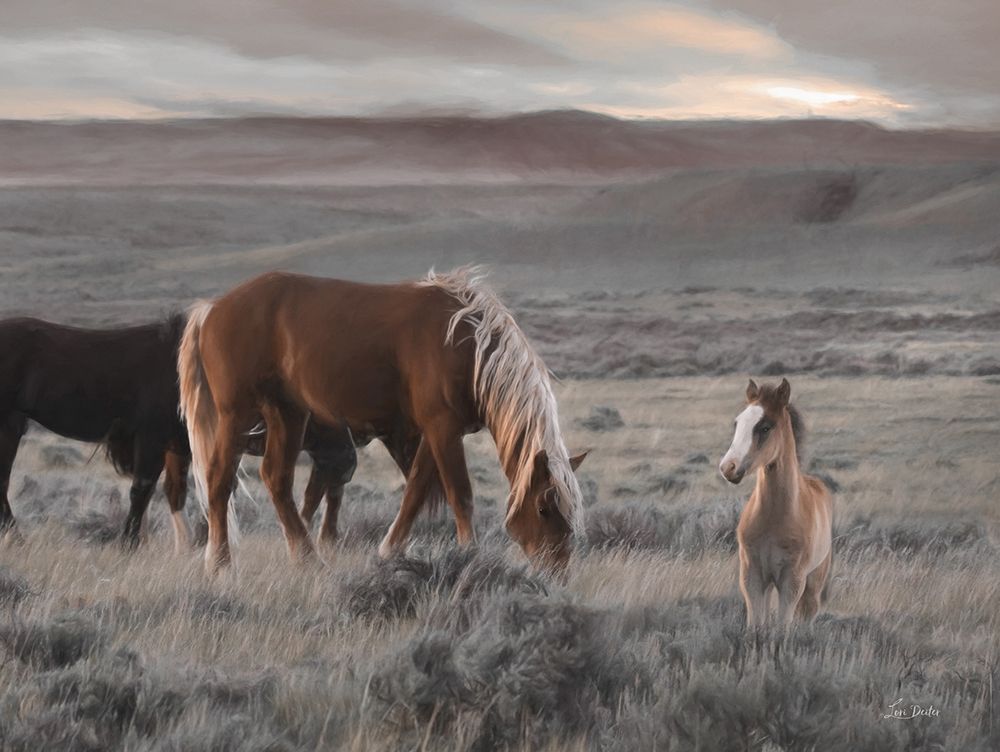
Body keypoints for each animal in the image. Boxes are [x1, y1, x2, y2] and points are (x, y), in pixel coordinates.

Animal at [178, 268, 587, 575]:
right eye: (544, 508)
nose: (557, 572)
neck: (468, 345)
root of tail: (212, 309)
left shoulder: (435, 432)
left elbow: (416, 491)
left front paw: (389, 550)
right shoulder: (443, 429)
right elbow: (461, 494)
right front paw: (470, 554)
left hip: (288, 414)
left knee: (276, 480)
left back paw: (308, 558)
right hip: (236, 415)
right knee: (219, 479)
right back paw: (220, 563)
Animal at [719, 378, 833, 626]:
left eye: (765, 427)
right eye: (737, 423)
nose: (728, 467)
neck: (775, 517)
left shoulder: (792, 581)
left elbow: (782, 628)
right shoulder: (752, 576)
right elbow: (756, 625)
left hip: (814, 580)